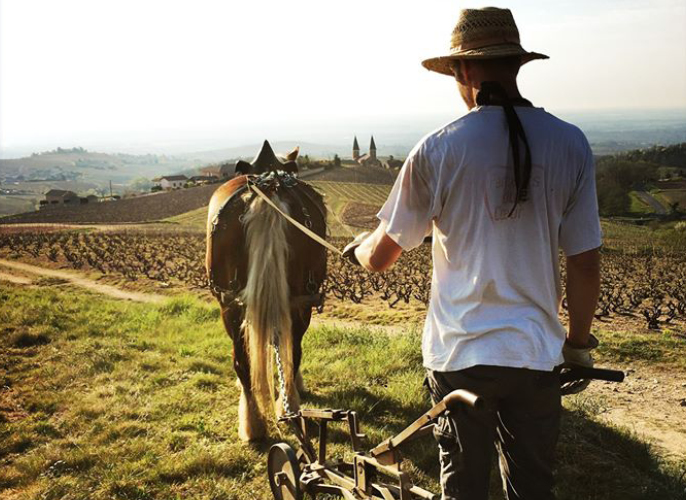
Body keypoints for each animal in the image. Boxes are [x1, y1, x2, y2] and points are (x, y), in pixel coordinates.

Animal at [207, 141, 328, 442]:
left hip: (230, 304)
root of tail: (269, 191)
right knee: (289, 351)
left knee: (245, 360)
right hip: (298, 302)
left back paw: (254, 423)